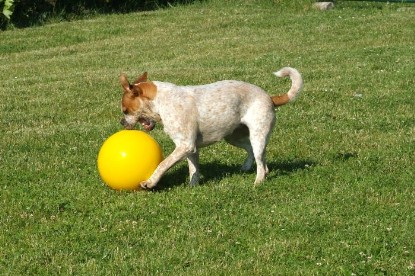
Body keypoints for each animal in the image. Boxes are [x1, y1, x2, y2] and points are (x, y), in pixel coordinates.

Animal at [118, 67, 304, 189]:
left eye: (125, 110)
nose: (121, 123)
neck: (160, 101)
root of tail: (270, 98)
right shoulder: (191, 148)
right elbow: (193, 169)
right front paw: (193, 187)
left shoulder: (185, 145)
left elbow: (163, 164)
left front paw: (149, 182)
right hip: (233, 137)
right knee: (253, 153)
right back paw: (247, 168)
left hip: (258, 135)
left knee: (260, 161)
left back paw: (258, 181)